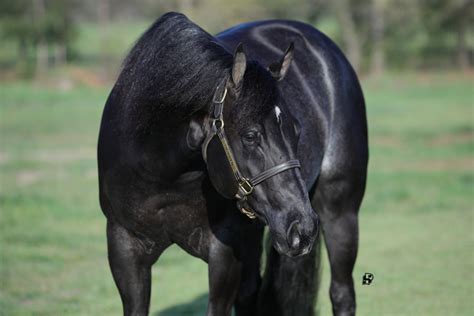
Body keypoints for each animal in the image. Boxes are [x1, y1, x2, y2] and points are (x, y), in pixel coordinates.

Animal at [98, 12, 368, 316]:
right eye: (250, 136)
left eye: (297, 129)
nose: (304, 229)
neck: (164, 174)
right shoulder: (125, 249)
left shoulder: (224, 253)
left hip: (340, 213)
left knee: (342, 292)